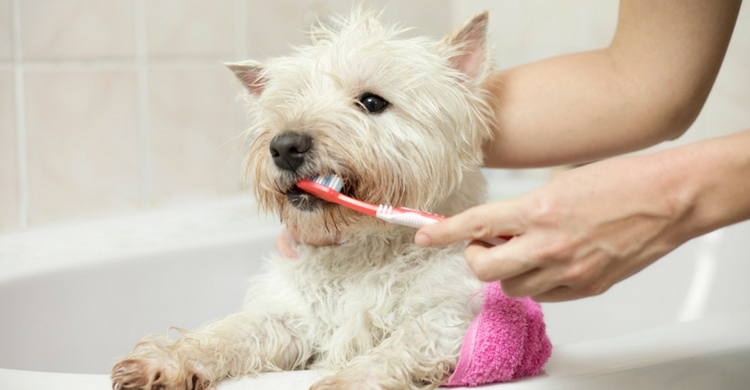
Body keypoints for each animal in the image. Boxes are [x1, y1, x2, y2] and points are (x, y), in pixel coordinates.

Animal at [111, 9, 496, 390]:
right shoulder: (291, 318)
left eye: (372, 102)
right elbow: (230, 333)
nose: (285, 146)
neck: (363, 250)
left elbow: (400, 345)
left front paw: (348, 381)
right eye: (288, 102)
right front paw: (164, 361)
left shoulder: (448, 316)